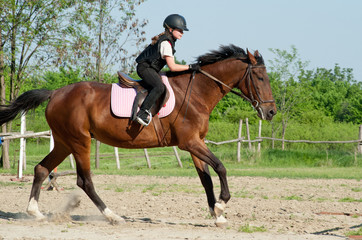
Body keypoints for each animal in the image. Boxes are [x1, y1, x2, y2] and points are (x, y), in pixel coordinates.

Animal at [0, 45, 276, 227]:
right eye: (260, 77)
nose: (271, 111)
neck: (197, 92)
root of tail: (56, 93)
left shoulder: (196, 144)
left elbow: (206, 178)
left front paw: (217, 215)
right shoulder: (190, 143)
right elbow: (220, 167)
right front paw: (221, 205)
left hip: (64, 142)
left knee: (41, 169)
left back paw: (35, 212)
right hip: (80, 141)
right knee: (84, 181)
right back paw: (112, 216)